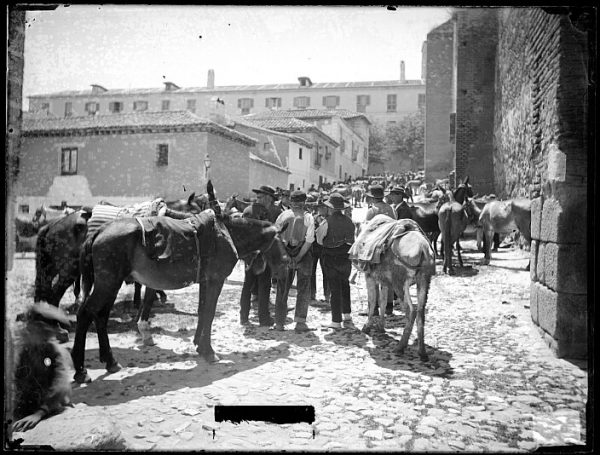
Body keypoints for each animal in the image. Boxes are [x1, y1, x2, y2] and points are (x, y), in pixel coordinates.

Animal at [74, 212, 290, 382]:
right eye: (283, 242)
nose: (286, 266)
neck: (227, 234)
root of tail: (99, 231)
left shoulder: (205, 281)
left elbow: (202, 312)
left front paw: (199, 345)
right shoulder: (216, 280)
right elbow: (209, 314)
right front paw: (209, 351)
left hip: (111, 284)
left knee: (100, 316)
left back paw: (110, 361)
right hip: (108, 283)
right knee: (85, 314)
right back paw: (81, 371)